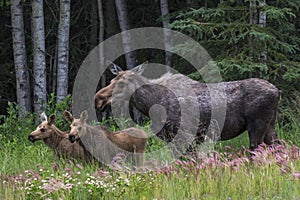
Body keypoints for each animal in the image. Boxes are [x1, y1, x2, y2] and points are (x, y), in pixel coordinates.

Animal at [95, 63, 282, 151]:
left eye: (121, 83)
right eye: (111, 80)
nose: (98, 99)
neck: (150, 104)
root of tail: (277, 91)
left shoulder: (184, 136)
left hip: (257, 126)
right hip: (270, 126)